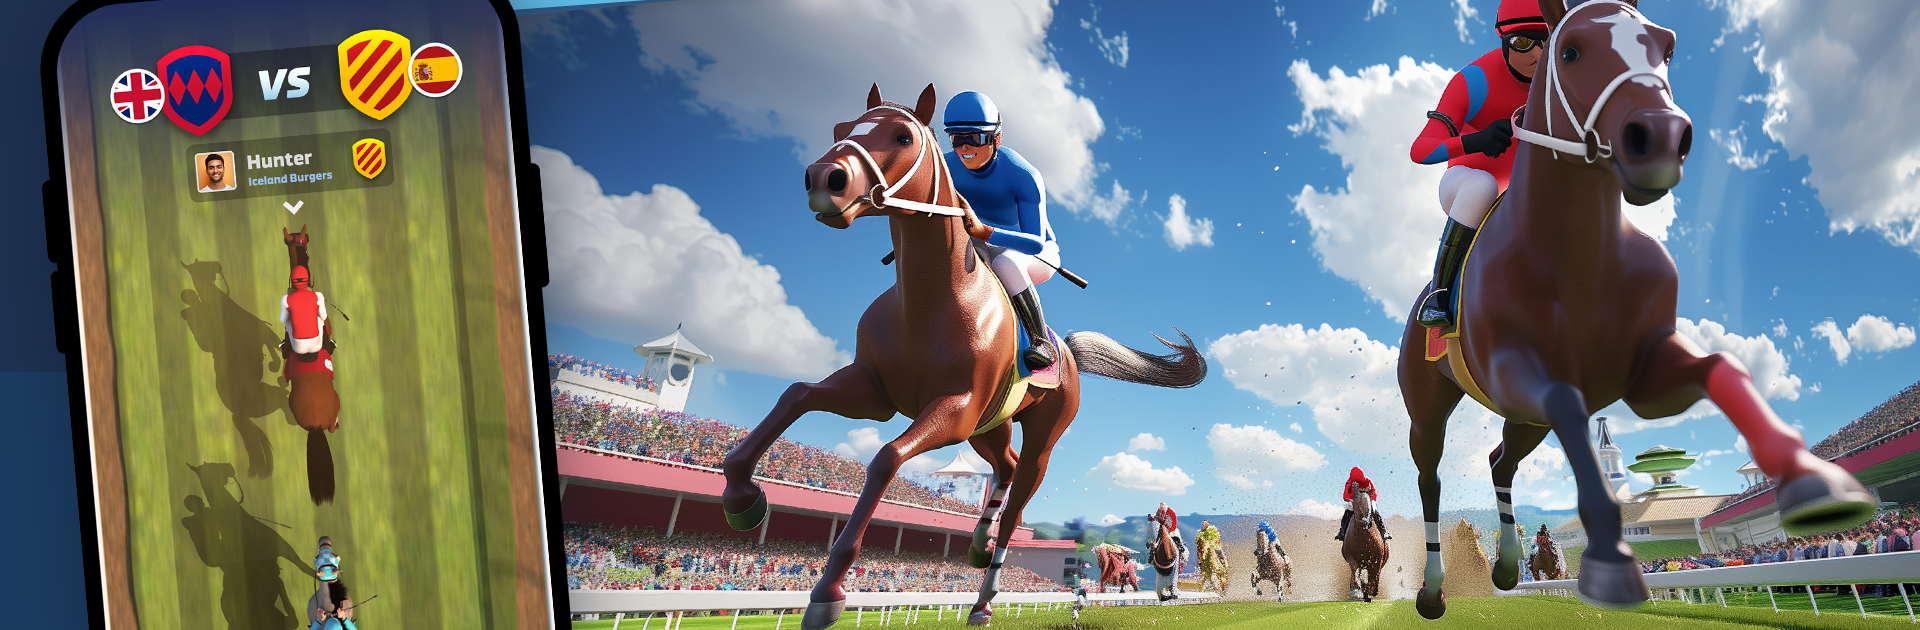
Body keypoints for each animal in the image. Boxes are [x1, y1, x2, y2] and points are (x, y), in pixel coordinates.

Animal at [721, 84, 1207, 630]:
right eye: (840, 128)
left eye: (903, 135)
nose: (825, 179)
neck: (931, 300)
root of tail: (1069, 352)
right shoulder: (874, 390)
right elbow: (796, 393)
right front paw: (742, 498)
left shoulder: (955, 408)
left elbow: (885, 458)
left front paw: (828, 591)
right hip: (989, 426)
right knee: (1005, 464)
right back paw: (977, 541)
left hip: (1037, 434)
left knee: (1019, 494)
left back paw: (983, 599)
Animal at [1398, 0, 1875, 617]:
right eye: (1570, 50)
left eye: (1665, 46)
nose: (1663, 137)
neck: (1581, 257)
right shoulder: (1515, 369)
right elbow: (1570, 404)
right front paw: (1609, 559)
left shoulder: (1646, 372)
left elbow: (1724, 368)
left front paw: (1815, 481)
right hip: (1429, 404)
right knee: (1429, 478)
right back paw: (1433, 590)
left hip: (1524, 421)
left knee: (1501, 461)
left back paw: (1505, 566)